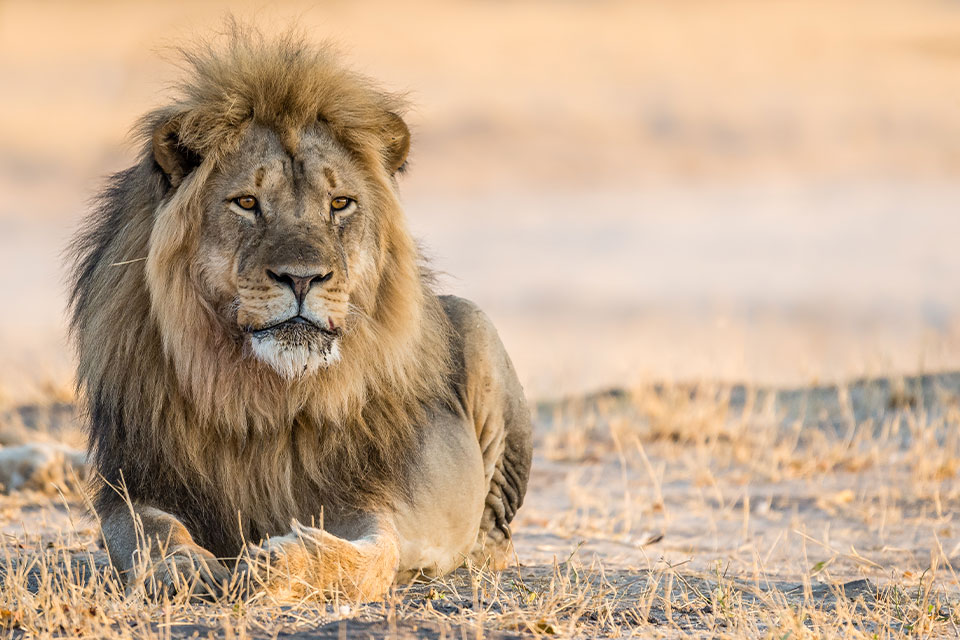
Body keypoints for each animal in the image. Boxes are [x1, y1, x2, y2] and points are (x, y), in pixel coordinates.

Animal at [67, 29, 532, 600]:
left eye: (340, 203)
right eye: (246, 202)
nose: (303, 278)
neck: (270, 394)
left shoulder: (369, 500)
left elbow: (367, 559)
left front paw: (278, 562)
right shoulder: (134, 485)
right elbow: (148, 531)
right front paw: (180, 568)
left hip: (478, 329)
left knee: (497, 530)